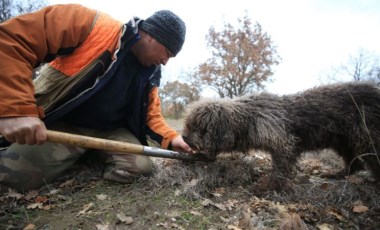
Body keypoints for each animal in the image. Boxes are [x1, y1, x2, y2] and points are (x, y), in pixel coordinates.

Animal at [182, 82, 380, 190]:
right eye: (188, 124)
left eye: (198, 127)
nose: (183, 137)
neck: (250, 117)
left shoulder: (282, 143)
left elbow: (280, 169)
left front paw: (270, 187)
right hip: (344, 141)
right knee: (354, 162)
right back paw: (339, 173)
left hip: (367, 138)